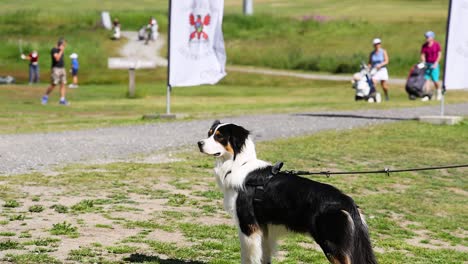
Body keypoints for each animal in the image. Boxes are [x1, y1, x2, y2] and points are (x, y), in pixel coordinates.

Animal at [197, 120, 376, 262]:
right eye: (209, 133)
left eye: (219, 137)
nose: (199, 143)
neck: (237, 164)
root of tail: (347, 201)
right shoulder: (263, 229)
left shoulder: (248, 226)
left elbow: (248, 258)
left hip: (332, 245)